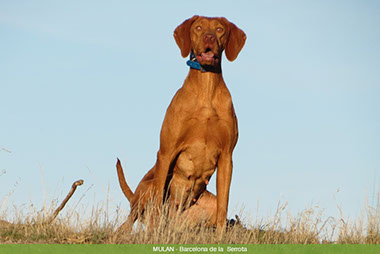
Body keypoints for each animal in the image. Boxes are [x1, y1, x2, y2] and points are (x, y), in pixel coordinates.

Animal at [116, 14, 246, 232]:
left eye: (219, 29)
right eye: (199, 27)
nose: (209, 37)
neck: (206, 88)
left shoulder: (227, 157)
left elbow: (224, 206)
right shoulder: (167, 151)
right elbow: (158, 199)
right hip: (146, 190)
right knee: (128, 222)